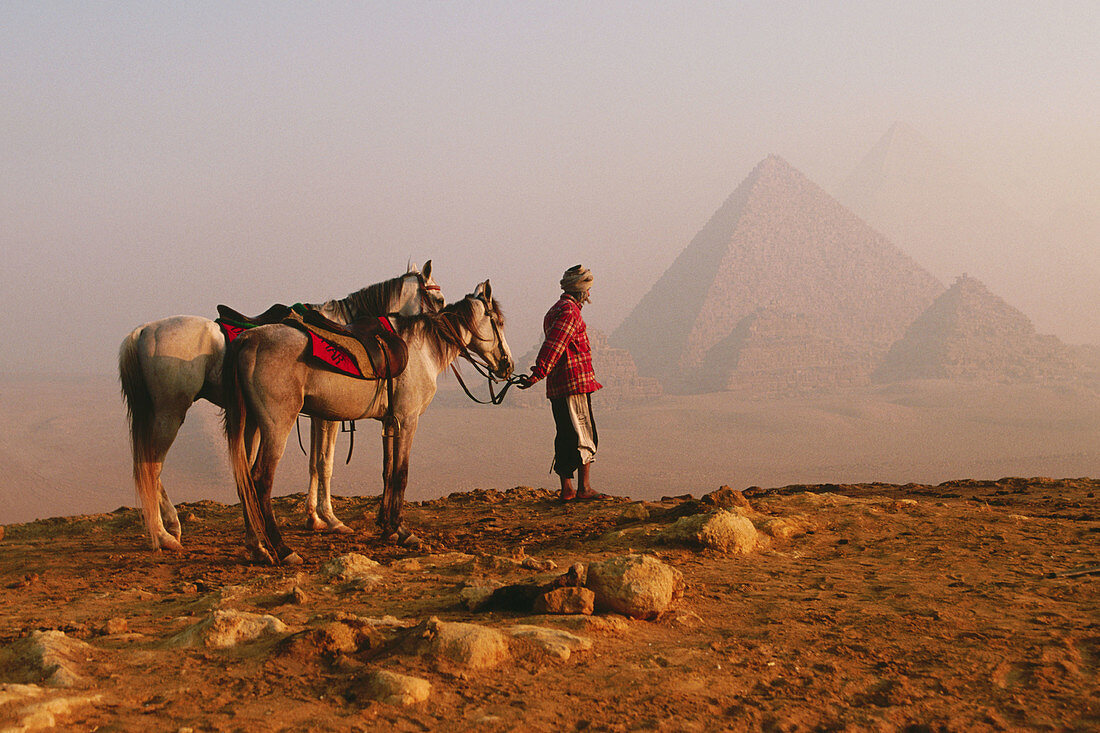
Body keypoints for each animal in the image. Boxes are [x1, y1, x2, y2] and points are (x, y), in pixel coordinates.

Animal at [119, 263, 442, 548]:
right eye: (437, 298)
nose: (441, 322)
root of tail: (143, 331)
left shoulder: (316, 413)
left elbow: (314, 463)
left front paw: (315, 518)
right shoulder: (328, 416)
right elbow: (324, 463)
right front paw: (330, 519)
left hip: (158, 412)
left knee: (147, 465)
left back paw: (170, 528)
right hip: (170, 412)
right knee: (151, 466)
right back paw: (165, 533)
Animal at [224, 281, 514, 561]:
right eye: (498, 322)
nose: (507, 365)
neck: (423, 348)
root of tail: (248, 340)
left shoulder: (389, 422)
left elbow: (387, 471)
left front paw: (387, 526)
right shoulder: (407, 420)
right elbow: (401, 473)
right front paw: (401, 529)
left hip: (251, 425)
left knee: (245, 478)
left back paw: (258, 547)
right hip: (276, 426)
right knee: (261, 480)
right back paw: (282, 549)